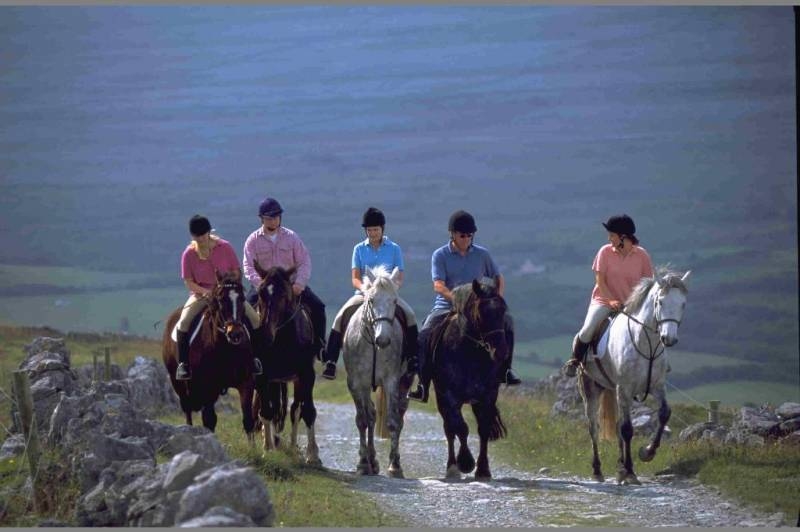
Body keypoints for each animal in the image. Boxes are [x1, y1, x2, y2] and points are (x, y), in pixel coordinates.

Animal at [164, 270, 258, 436]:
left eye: (242, 298)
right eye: (221, 300)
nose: (235, 334)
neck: (225, 349)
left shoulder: (246, 382)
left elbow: (248, 421)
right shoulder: (207, 386)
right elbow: (209, 420)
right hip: (179, 384)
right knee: (187, 410)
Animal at [253, 262, 322, 466]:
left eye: (284, 294)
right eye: (261, 292)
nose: (265, 335)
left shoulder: (307, 374)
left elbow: (308, 411)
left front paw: (312, 455)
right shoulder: (262, 376)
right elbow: (266, 411)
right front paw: (268, 449)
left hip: (297, 380)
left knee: (294, 410)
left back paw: (293, 447)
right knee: (274, 409)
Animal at [340, 266, 412, 478]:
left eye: (394, 301)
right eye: (371, 300)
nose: (383, 340)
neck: (373, 344)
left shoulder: (391, 381)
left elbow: (393, 422)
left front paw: (395, 466)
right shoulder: (357, 383)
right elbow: (363, 420)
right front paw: (363, 464)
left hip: (404, 383)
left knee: (399, 416)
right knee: (370, 415)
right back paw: (371, 461)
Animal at [432, 280, 506, 480]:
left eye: (504, 310)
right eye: (481, 313)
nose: (500, 351)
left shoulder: (488, 396)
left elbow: (484, 429)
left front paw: (483, 469)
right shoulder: (450, 396)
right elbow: (461, 428)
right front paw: (465, 462)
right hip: (442, 400)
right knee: (449, 429)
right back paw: (452, 467)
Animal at [580, 268, 692, 484]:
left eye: (683, 304)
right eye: (660, 302)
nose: (669, 339)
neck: (645, 344)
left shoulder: (657, 386)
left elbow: (664, 413)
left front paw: (647, 452)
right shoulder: (625, 388)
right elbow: (627, 429)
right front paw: (631, 472)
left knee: (615, 426)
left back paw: (619, 467)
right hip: (591, 389)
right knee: (594, 428)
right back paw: (598, 470)